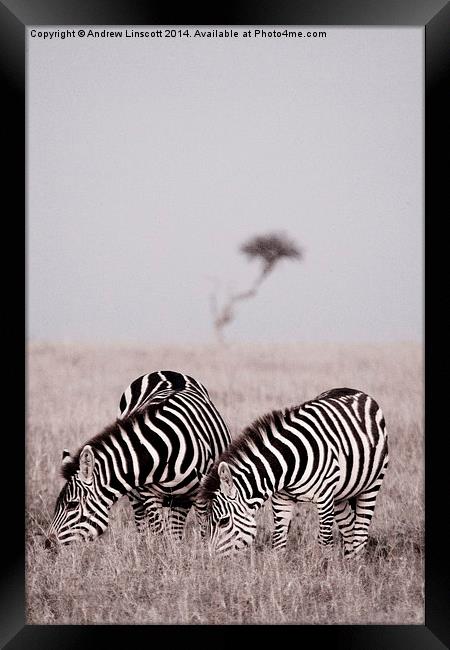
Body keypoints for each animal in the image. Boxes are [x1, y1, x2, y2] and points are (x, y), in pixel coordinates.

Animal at [44, 370, 232, 548]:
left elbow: (204, 530)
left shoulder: (201, 495)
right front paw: (161, 557)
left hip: (180, 498)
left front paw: (203, 556)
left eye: (72, 505)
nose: (47, 544)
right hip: (138, 497)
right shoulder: (148, 493)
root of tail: (166, 371)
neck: (162, 452)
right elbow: (159, 532)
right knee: (144, 525)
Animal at [199, 384, 388, 556]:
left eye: (223, 521)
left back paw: (357, 565)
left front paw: (327, 570)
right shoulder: (281, 499)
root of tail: (353, 390)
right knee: (349, 528)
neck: (288, 464)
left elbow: (325, 542)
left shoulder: (325, 497)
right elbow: (278, 542)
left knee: (360, 534)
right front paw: (277, 568)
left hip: (372, 485)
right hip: (341, 493)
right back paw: (349, 563)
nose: (211, 562)